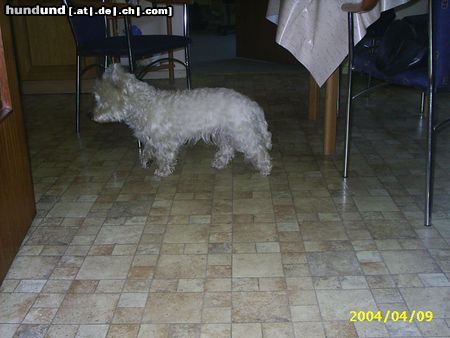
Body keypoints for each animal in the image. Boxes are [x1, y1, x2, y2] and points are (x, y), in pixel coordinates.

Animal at [93, 64, 272, 177]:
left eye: (102, 101)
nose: (92, 117)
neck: (143, 105)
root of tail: (251, 105)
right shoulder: (150, 137)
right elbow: (147, 151)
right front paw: (146, 161)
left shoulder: (165, 141)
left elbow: (164, 157)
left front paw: (163, 171)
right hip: (224, 134)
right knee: (227, 150)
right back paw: (219, 163)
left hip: (242, 135)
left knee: (259, 150)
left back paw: (265, 168)